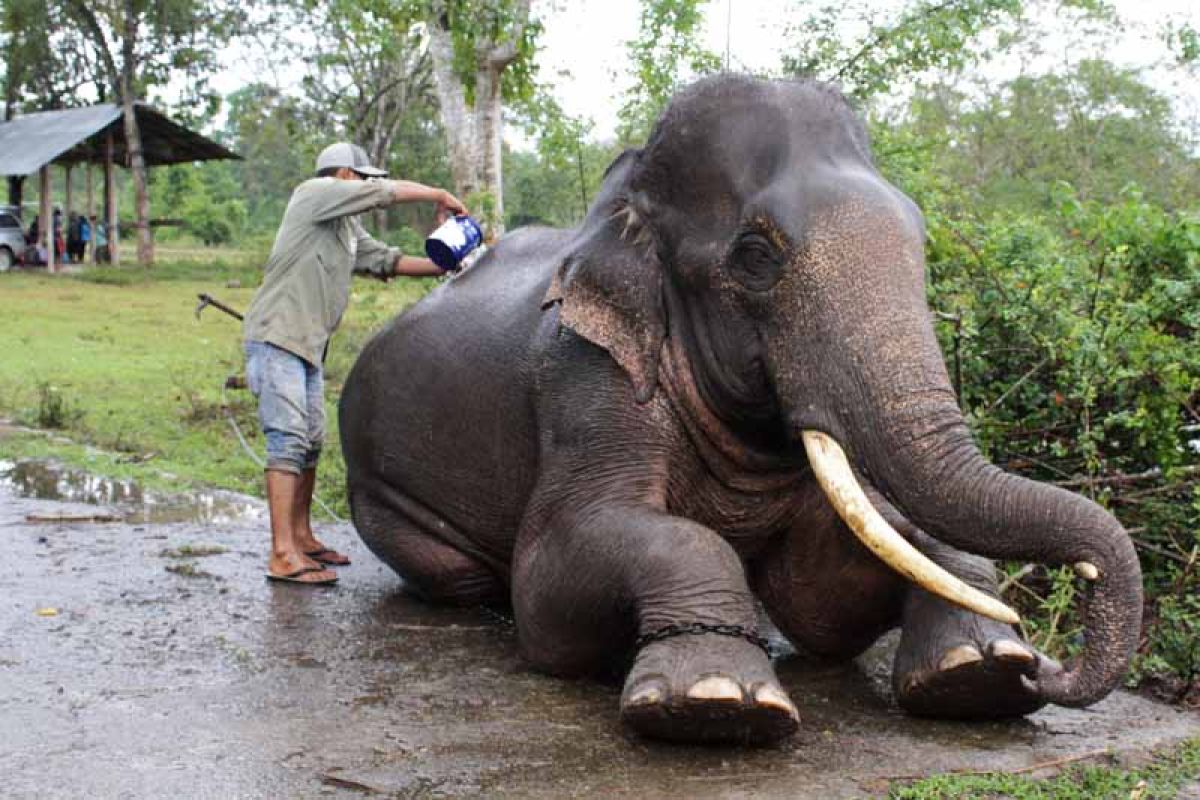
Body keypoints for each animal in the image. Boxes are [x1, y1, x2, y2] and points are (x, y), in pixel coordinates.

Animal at [340, 74, 1142, 743]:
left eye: (920, 239)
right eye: (757, 256)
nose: (1052, 664)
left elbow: (824, 593)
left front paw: (986, 671)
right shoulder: (585, 378)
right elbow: (555, 580)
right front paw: (715, 704)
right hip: (379, 495)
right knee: (461, 576)